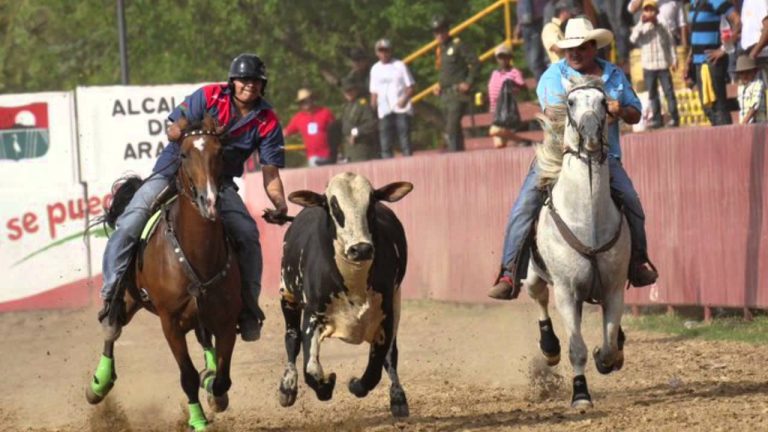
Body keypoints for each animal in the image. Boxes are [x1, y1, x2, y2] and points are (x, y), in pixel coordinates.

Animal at [84, 115, 242, 432]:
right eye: (183, 154)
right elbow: (188, 376)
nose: (208, 201)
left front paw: (215, 392)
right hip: (128, 298)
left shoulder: (226, 320)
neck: (196, 253)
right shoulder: (170, 322)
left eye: (220, 152)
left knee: (204, 341)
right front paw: (198, 420)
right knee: (112, 328)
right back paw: (99, 384)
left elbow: (222, 379)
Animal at [528, 76, 632, 410]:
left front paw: (606, 358)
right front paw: (581, 395)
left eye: (603, 102)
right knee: (537, 296)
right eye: (571, 102)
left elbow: (609, 344)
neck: (587, 220)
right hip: (532, 275)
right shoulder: (566, 292)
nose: (589, 135)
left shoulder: (614, 288)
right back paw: (549, 349)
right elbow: (577, 348)